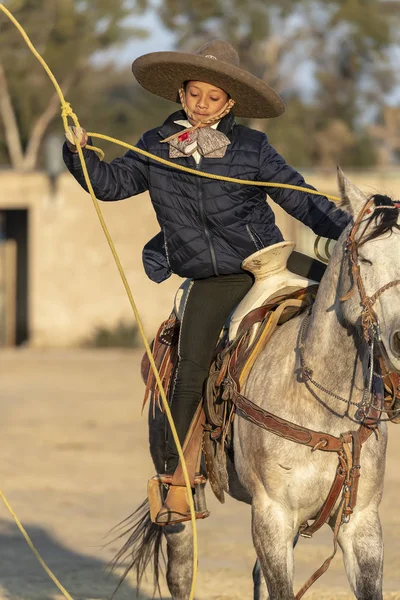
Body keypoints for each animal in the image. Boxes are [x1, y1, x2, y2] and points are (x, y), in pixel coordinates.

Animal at [115, 170, 400, 600]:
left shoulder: (362, 522)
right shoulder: (272, 515)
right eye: (364, 259)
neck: (323, 404)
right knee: (179, 568)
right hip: (178, 499)